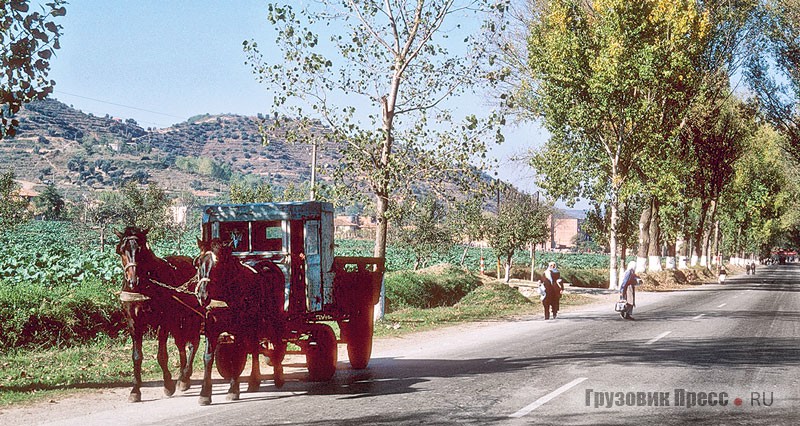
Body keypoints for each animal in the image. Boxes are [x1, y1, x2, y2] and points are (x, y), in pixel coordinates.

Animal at [115, 226, 203, 402]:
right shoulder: (133, 322)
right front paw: (135, 390)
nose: (132, 281)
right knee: (180, 344)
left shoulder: (163, 321)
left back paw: (185, 377)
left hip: (192, 316)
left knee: (193, 344)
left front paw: (168, 384)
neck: (144, 287)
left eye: (141, 249)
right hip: (177, 321)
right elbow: (137, 356)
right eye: (121, 250)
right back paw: (183, 376)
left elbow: (162, 355)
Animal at [195, 238, 288, 404]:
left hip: (272, 318)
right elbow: (208, 358)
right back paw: (254, 381)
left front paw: (233, 390)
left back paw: (278, 375)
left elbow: (236, 356)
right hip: (253, 324)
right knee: (255, 347)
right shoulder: (211, 328)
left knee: (276, 341)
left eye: (218, 264)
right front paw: (205, 393)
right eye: (199, 263)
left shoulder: (239, 329)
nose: (202, 295)